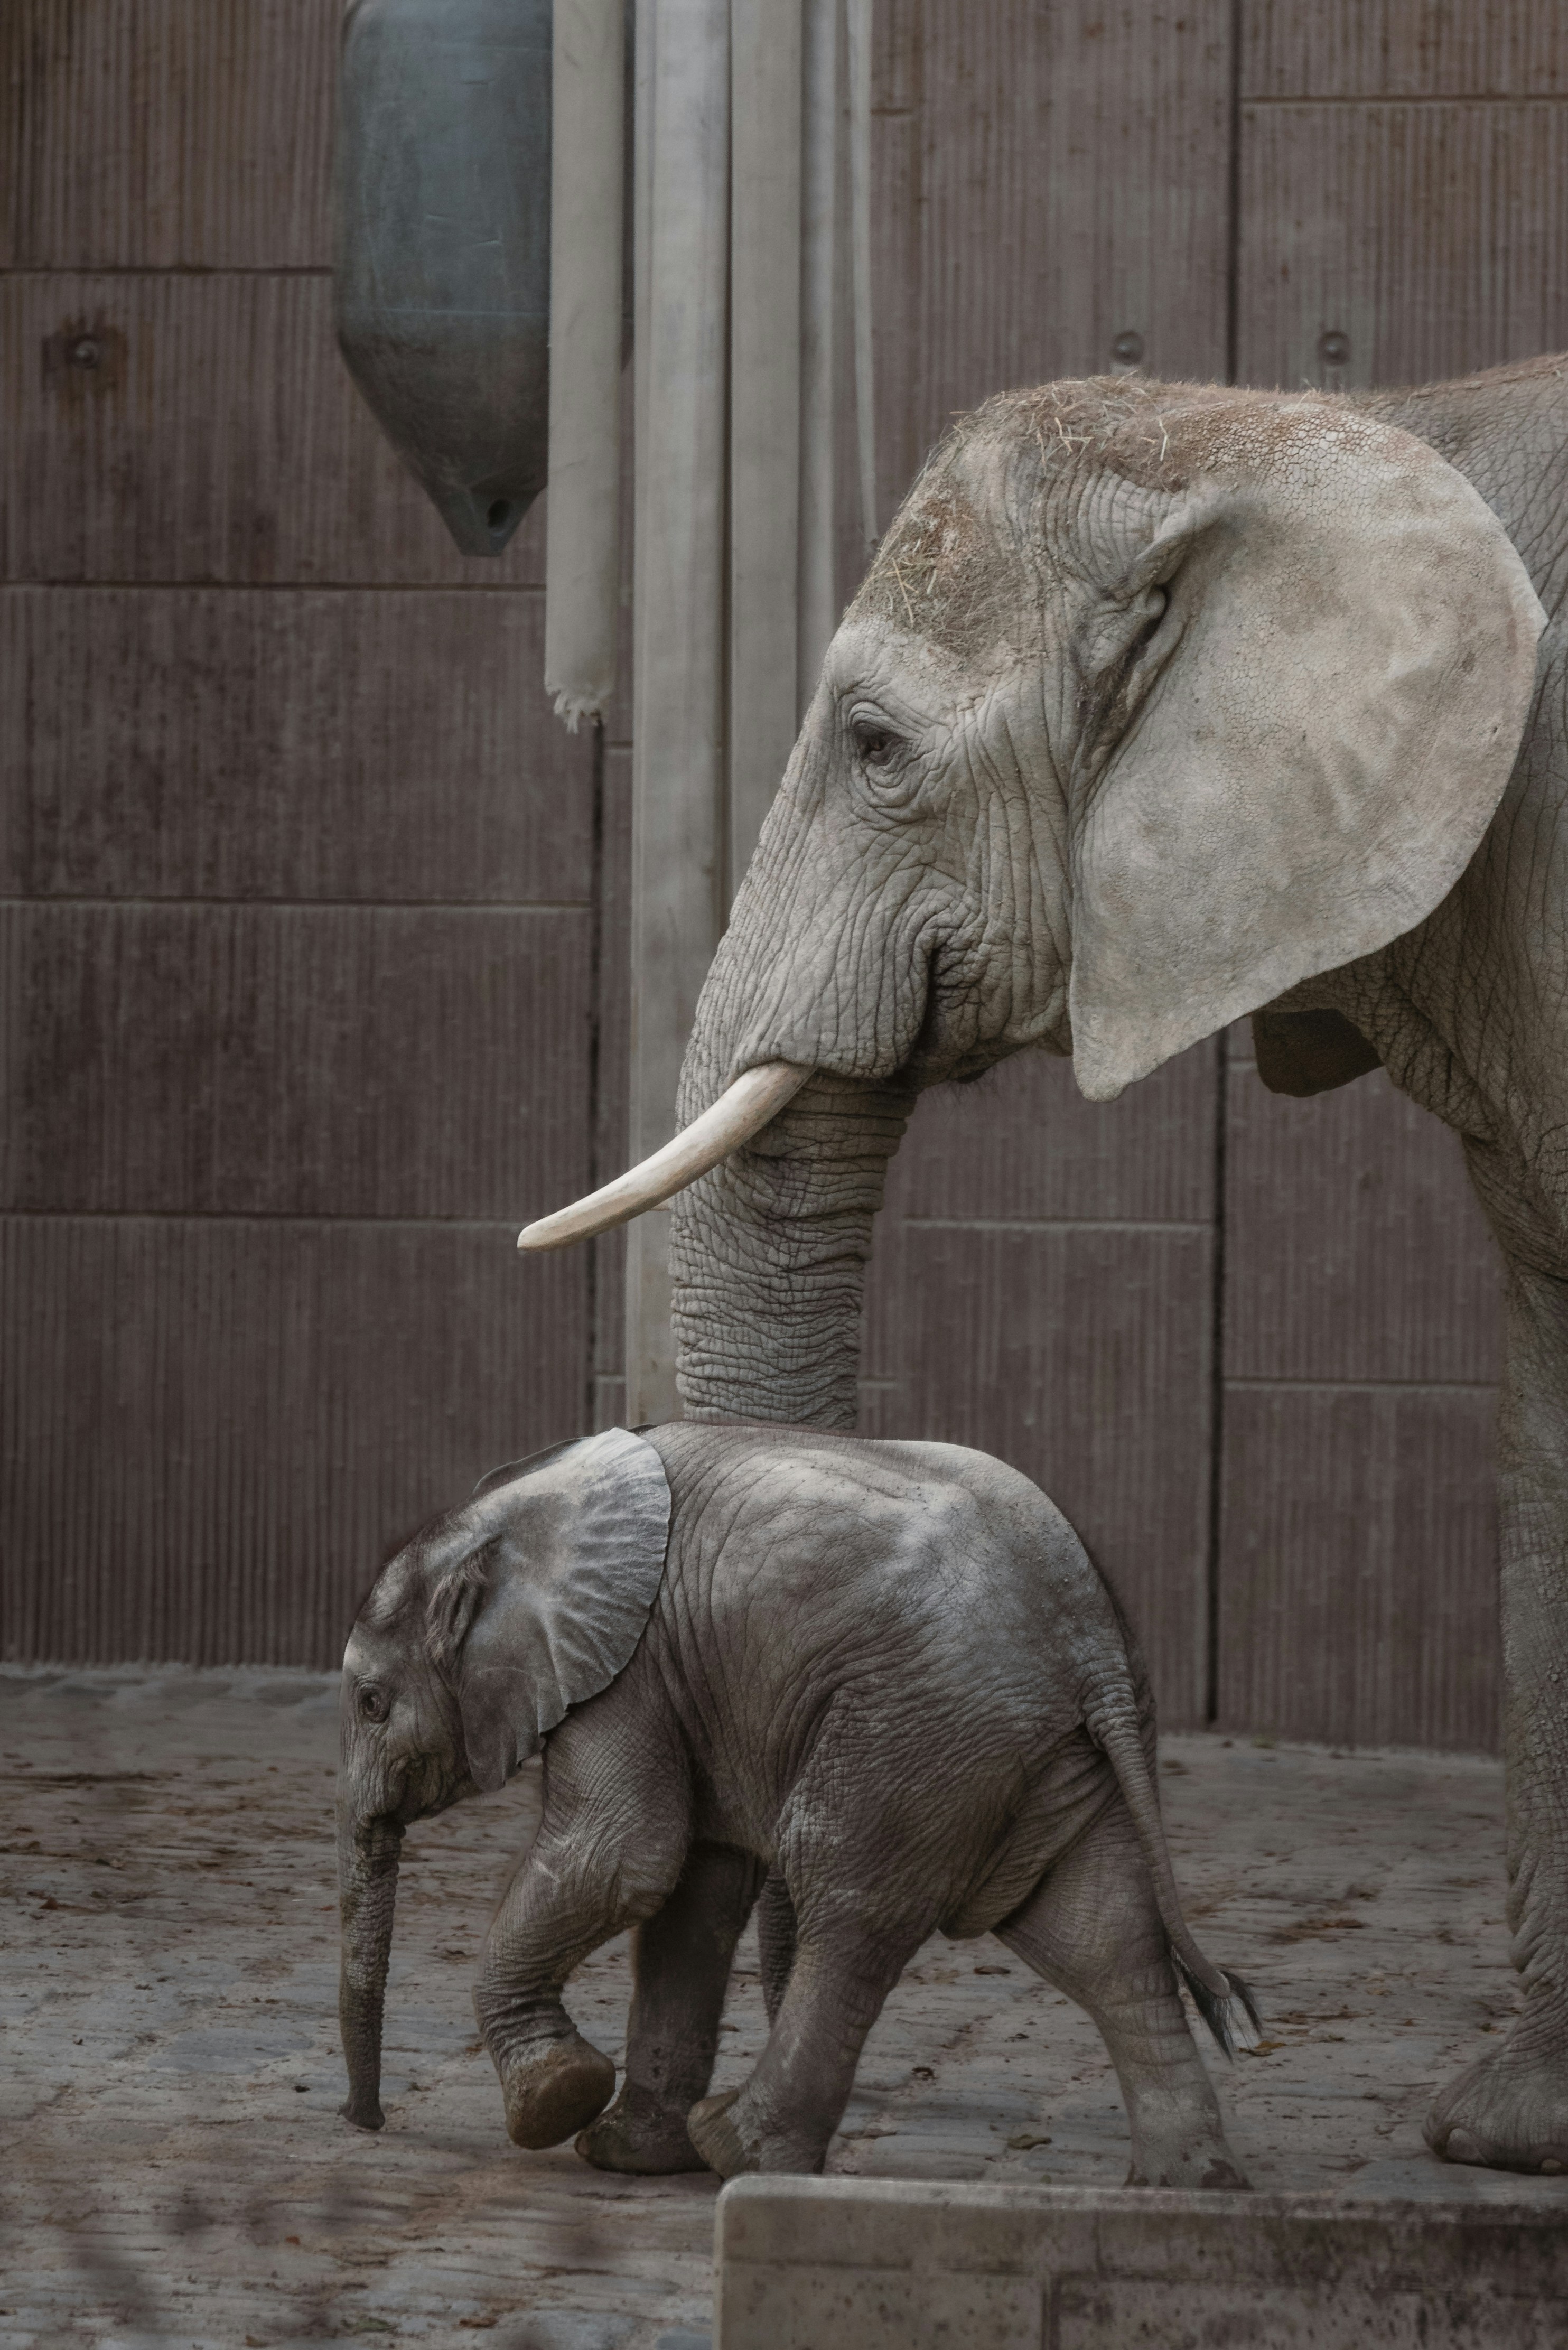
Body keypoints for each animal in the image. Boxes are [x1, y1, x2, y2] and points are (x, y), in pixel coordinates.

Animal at [337, 1422, 1259, 2186]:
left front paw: (556, 2104)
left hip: (917, 1730)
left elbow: (622, 1859)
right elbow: (691, 1896)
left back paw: (735, 2152)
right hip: (1046, 1751)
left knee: (849, 1904)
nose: (366, 2123)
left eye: (371, 1704)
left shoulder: (630, 1671)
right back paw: (1183, 2190)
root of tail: (1090, 1635)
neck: (509, 1509)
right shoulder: (686, 1685)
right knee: (1100, 1937)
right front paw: (627, 2158)